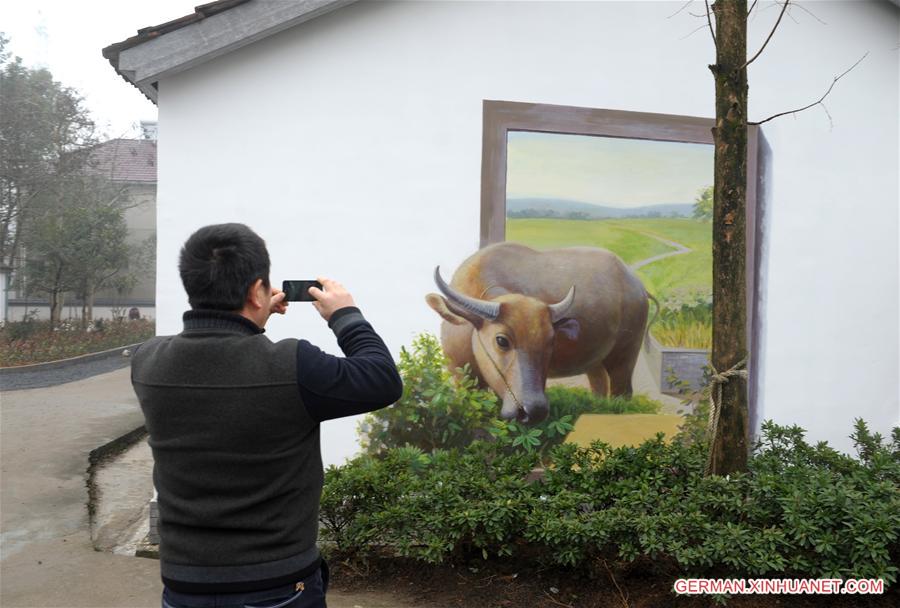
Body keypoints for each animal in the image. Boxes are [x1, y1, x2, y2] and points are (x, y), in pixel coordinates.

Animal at [426, 241, 652, 422]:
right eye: (501, 340)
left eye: (551, 341)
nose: (534, 411)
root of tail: (637, 286)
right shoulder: (461, 376)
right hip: (596, 363)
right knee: (599, 387)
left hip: (625, 356)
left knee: (621, 393)